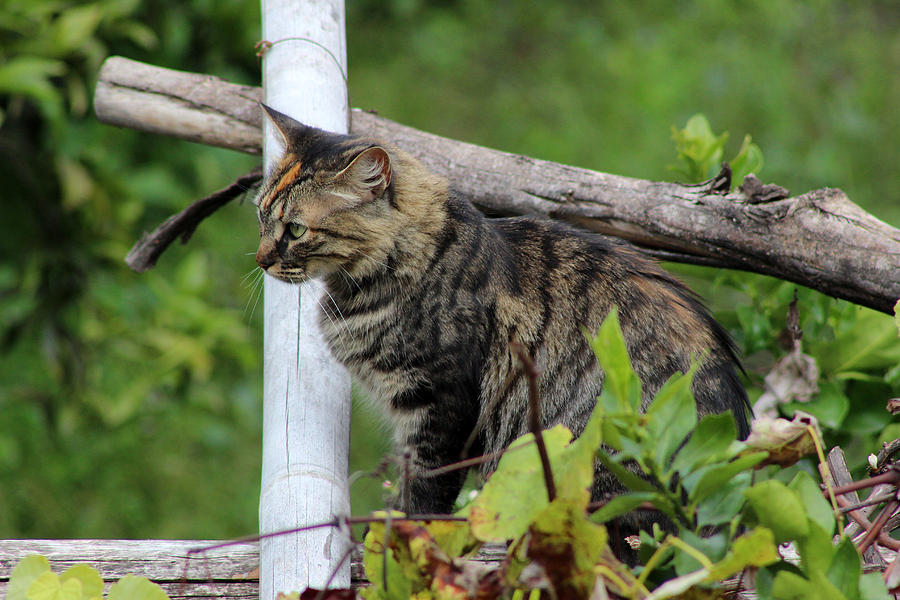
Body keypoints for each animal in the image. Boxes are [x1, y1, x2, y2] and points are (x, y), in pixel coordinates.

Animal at [253, 104, 752, 540]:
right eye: (261, 215)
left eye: (295, 230)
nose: (260, 260)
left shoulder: (439, 406)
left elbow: (424, 494)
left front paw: (403, 545)